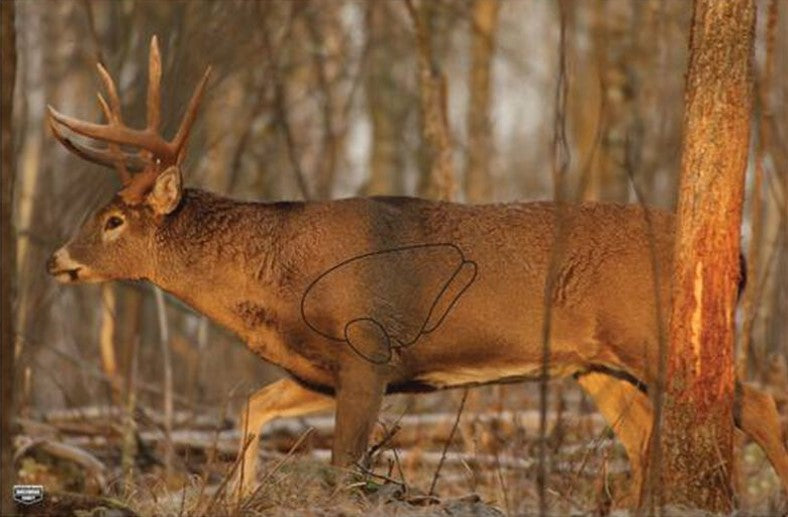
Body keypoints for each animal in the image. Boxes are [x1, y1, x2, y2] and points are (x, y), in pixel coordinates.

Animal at [47, 37, 788, 506]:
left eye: (113, 220)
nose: (57, 259)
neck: (277, 281)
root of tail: (739, 254)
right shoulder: (319, 369)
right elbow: (252, 406)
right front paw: (241, 494)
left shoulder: (368, 350)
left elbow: (345, 469)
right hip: (595, 364)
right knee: (642, 440)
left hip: (652, 335)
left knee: (755, 404)